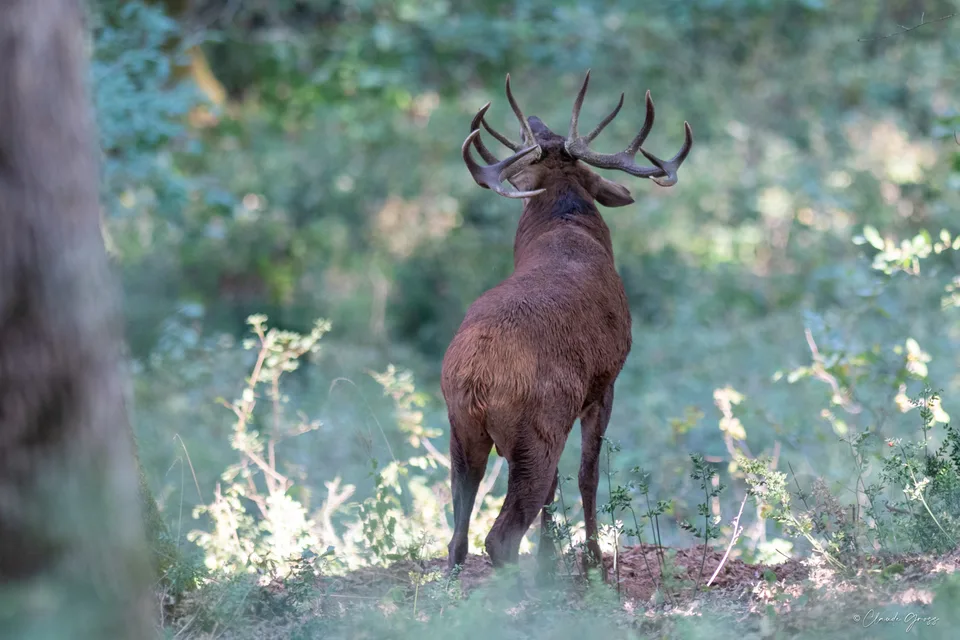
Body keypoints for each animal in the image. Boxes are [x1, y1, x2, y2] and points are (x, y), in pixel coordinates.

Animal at [441, 70, 692, 576]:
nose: (538, 121)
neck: (565, 228)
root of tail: (476, 377)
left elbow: (560, 487)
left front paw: (548, 560)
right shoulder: (605, 380)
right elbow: (587, 473)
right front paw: (592, 559)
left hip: (461, 429)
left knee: (458, 536)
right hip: (536, 427)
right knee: (499, 535)